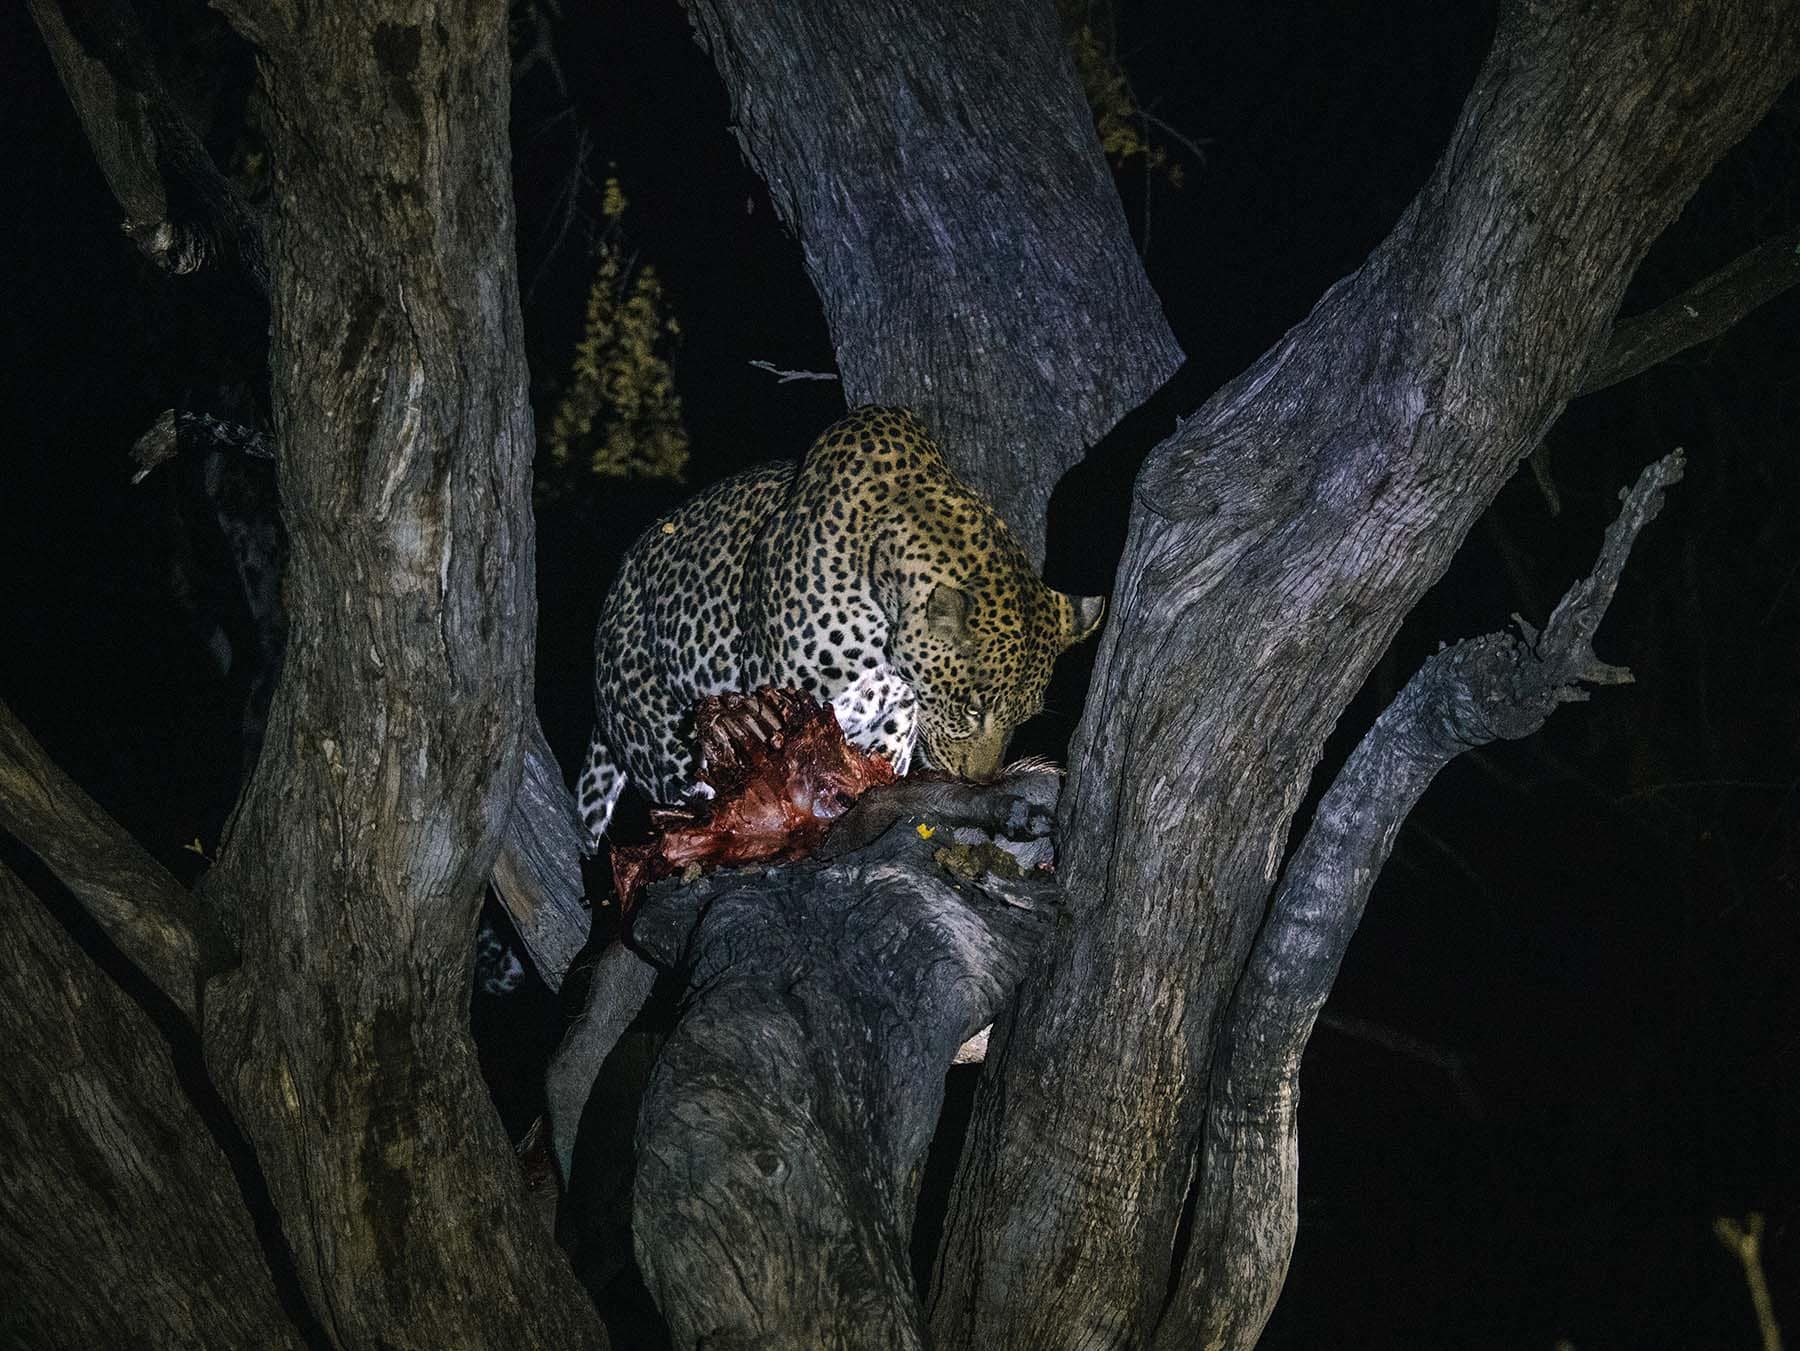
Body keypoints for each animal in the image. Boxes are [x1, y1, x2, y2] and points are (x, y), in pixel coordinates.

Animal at [576, 405, 1106, 846]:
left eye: (1023, 718)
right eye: (973, 709)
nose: (976, 780)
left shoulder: (891, 725)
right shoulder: (787, 698)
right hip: (661, 737)